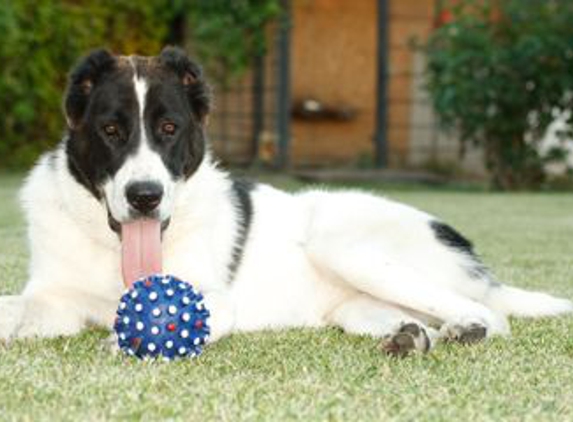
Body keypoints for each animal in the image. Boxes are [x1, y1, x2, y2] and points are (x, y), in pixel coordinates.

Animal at [0, 47, 568, 356]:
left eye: (169, 129)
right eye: (112, 131)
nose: (145, 197)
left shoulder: (215, 299)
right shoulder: (53, 300)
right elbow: (16, 308)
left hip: (343, 246)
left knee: (488, 314)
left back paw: (466, 329)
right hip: (357, 306)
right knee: (416, 319)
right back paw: (410, 336)